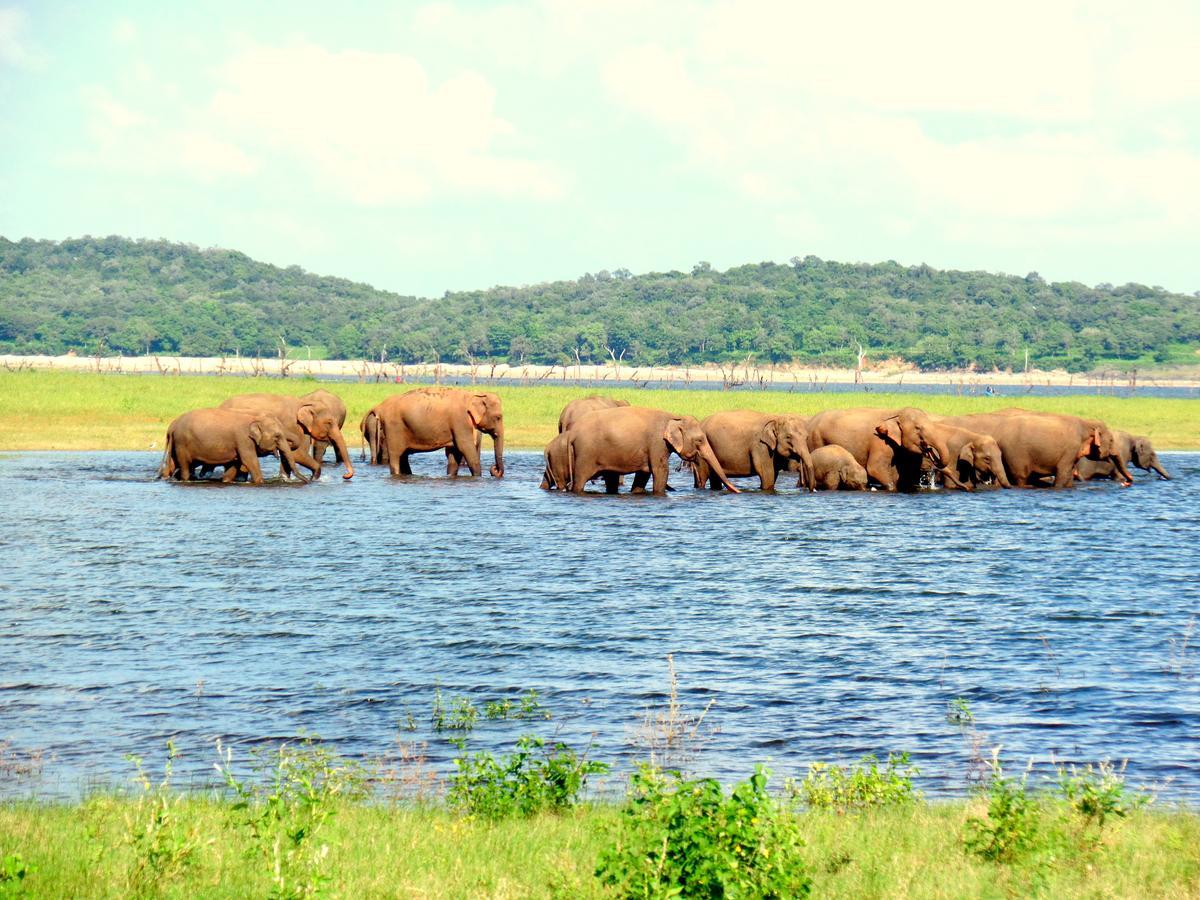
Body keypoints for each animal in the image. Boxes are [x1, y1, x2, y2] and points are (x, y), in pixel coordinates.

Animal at [157, 410, 304, 487]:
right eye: (277, 436)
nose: (307, 481)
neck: (254, 417)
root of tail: (172, 426)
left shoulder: (237, 444)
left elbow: (235, 464)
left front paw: (227, 481)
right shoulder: (244, 440)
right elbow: (250, 461)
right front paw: (259, 482)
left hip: (177, 445)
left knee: (172, 465)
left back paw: (166, 478)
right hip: (182, 443)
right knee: (185, 466)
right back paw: (185, 479)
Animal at [223, 393, 355, 482]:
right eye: (329, 422)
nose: (345, 476)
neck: (304, 403)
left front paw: (284, 479)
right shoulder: (293, 425)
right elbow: (297, 453)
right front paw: (312, 479)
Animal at [369, 386, 501, 480]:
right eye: (499, 417)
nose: (495, 470)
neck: (473, 395)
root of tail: (380, 407)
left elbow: (455, 453)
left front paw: (450, 476)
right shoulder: (460, 421)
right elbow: (465, 447)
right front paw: (477, 477)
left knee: (403, 456)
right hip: (393, 428)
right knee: (396, 455)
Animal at [564, 408, 739, 496]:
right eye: (700, 440)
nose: (738, 491)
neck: (674, 417)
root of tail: (572, 433)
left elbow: (644, 474)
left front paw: (637, 493)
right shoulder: (657, 442)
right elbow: (660, 470)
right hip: (586, 454)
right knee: (580, 480)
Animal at [936, 412, 1132, 489]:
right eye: (1111, 440)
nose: (1129, 482)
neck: (1086, 423)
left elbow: (1068, 473)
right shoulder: (1070, 449)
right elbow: (1063, 472)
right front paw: (1058, 487)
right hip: (1016, 455)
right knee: (1020, 477)